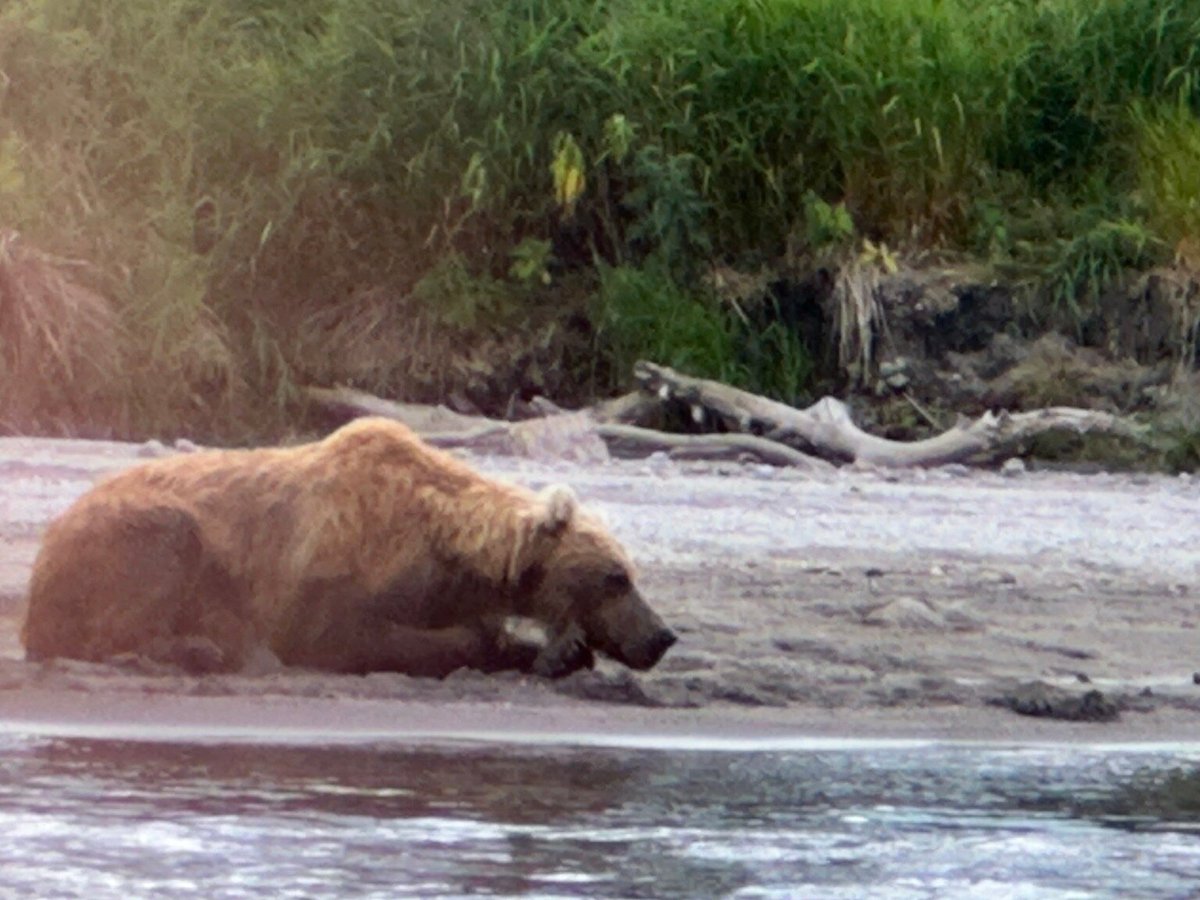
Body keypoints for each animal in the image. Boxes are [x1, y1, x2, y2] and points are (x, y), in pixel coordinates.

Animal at [21, 420, 676, 681]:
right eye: (616, 577)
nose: (663, 635)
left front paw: (556, 652)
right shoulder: (333, 575)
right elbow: (349, 635)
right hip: (123, 536)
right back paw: (200, 648)